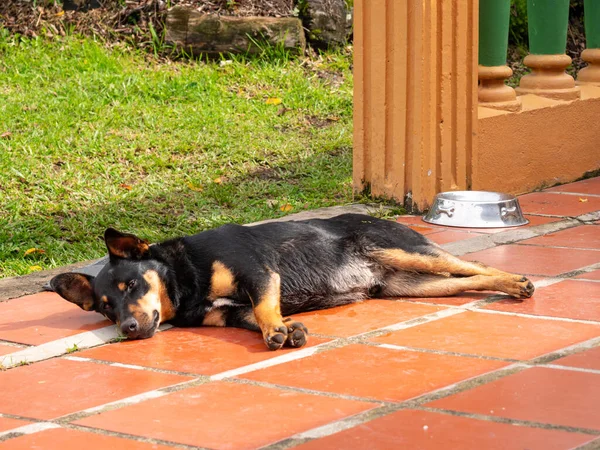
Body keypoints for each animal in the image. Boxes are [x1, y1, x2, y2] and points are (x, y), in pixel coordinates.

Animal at [50, 215, 536, 352]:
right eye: (106, 307)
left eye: (131, 285)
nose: (127, 329)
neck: (186, 280)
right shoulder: (229, 314)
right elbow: (258, 316)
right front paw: (288, 329)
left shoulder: (259, 273)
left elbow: (267, 308)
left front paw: (278, 331)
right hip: (414, 284)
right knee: (464, 278)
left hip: (405, 251)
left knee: (472, 266)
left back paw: (516, 281)